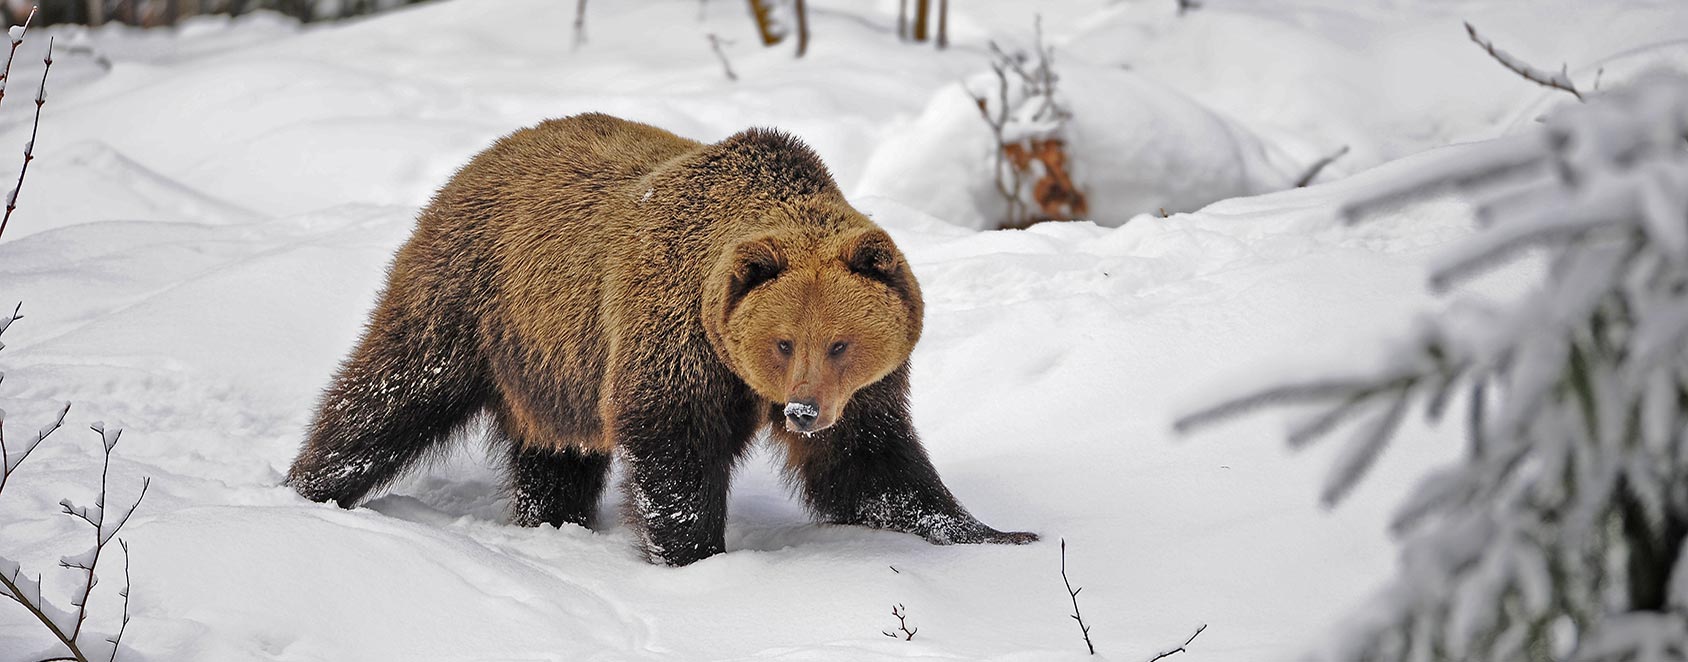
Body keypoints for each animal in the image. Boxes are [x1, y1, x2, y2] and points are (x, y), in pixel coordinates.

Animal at [286, 113, 1037, 566]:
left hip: (555, 362)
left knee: (556, 452)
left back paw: (551, 520)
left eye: (841, 343)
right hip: (473, 296)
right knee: (391, 391)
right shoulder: (674, 335)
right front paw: (696, 553)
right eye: (783, 341)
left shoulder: (861, 392)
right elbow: (674, 446)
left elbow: (872, 464)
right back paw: (309, 489)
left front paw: (997, 533)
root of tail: (482, 156)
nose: (801, 411)